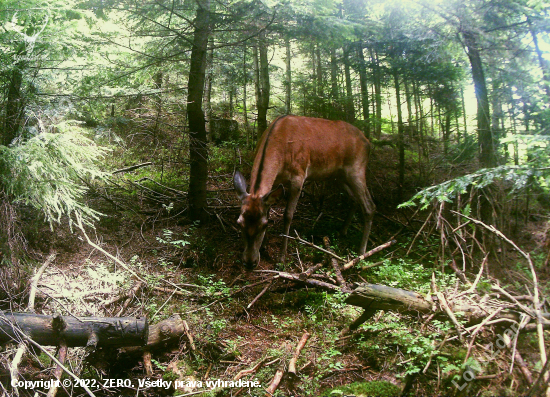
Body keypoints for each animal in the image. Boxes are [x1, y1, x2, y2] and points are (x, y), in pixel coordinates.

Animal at [235, 115, 378, 270]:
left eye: (264, 225)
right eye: (239, 223)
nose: (249, 263)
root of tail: (368, 143)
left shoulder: (299, 176)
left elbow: (288, 216)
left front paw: (281, 258)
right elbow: (267, 210)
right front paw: (264, 247)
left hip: (356, 169)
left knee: (370, 206)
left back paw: (362, 252)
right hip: (339, 176)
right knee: (354, 199)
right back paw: (343, 231)